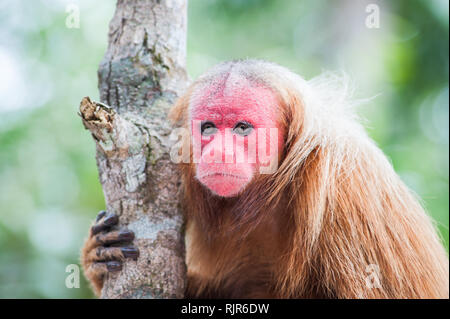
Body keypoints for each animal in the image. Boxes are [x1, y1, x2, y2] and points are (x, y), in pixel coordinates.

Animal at [81, 59, 450, 300]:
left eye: (242, 128)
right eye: (208, 128)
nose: (219, 152)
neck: (274, 190)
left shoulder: (347, 192)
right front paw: (97, 258)